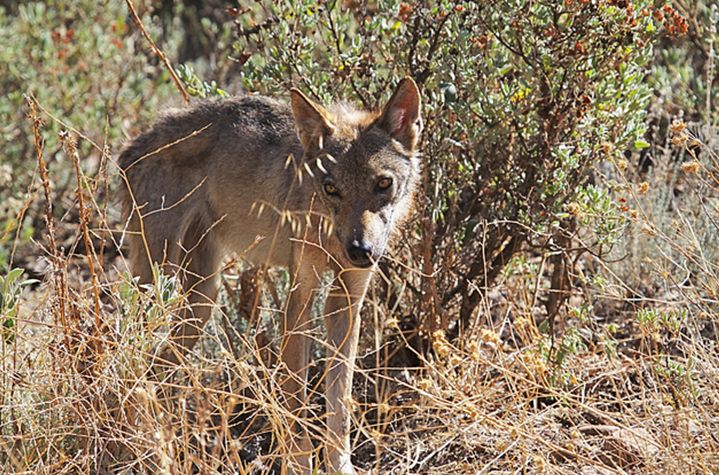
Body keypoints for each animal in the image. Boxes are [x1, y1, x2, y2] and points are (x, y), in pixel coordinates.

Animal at [118, 76, 422, 474]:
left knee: (156, 371)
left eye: (383, 184)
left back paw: (163, 448)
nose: (360, 250)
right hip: (158, 287)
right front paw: (299, 466)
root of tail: (130, 147)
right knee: (126, 361)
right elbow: (296, 409)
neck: (328, 232)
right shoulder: (300, 297)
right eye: (331, 189)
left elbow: (339, 408)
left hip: (200, 301)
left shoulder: (347, 301)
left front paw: (341, 466)